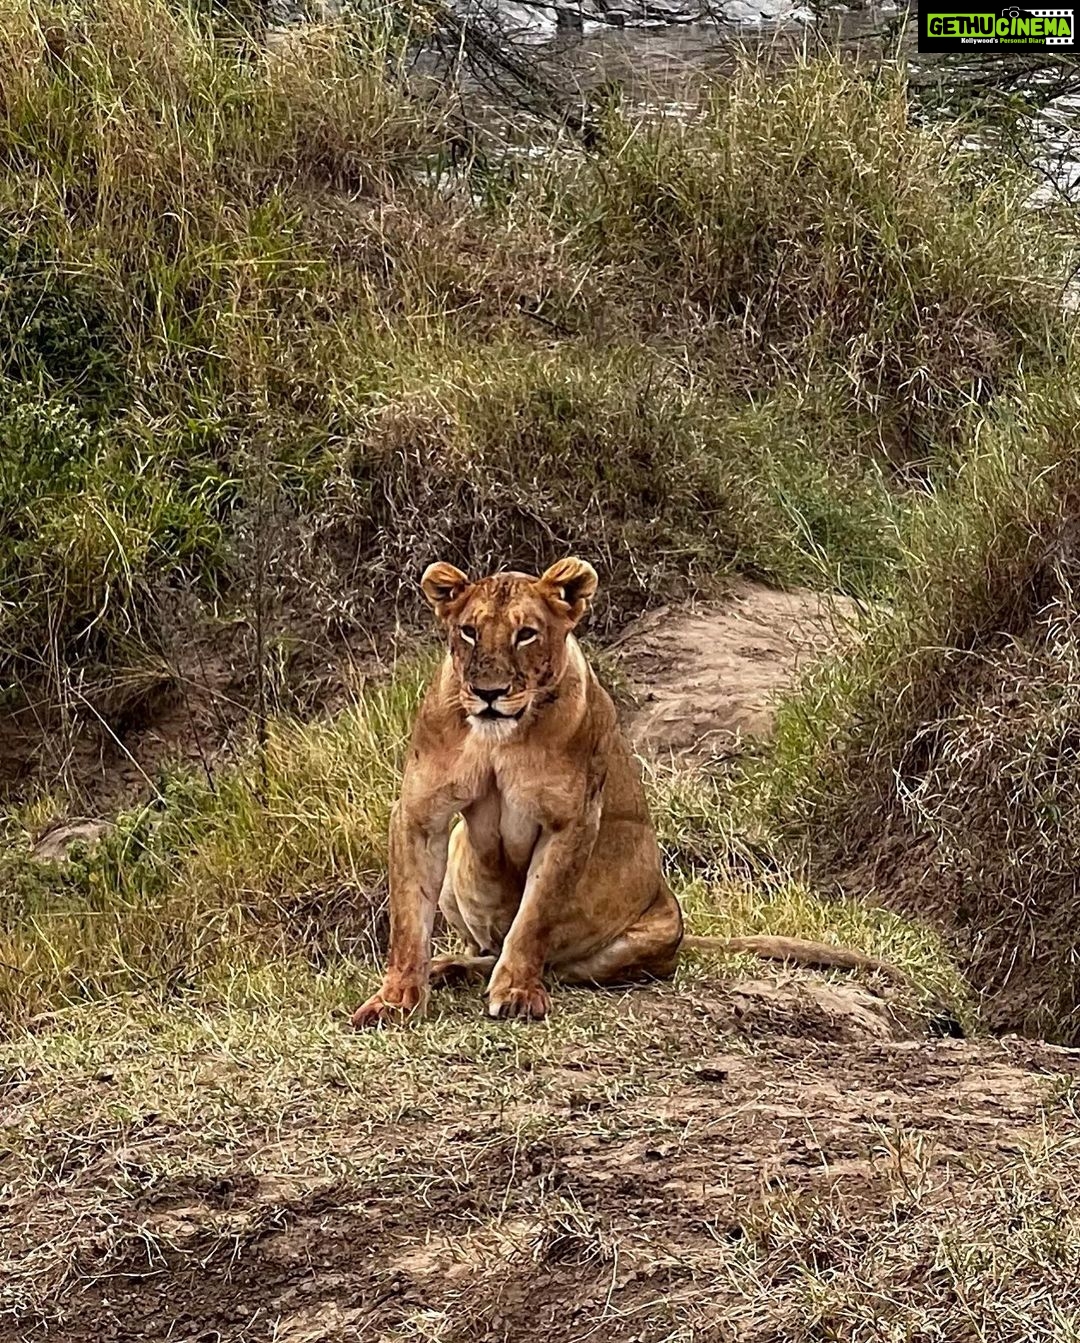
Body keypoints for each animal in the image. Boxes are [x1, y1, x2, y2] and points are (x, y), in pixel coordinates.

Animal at [350, 558, 902, 1028]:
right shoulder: (421, 816)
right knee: (484, 946)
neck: (498, 739)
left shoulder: (573, 820)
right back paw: (450, 968)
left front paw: (518, 992)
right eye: (468, 631)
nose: (488, 693)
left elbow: (532, 918)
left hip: (649, 932)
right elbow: (408, 920)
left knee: (555, 961)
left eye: (526, 634)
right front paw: (395, 1000)